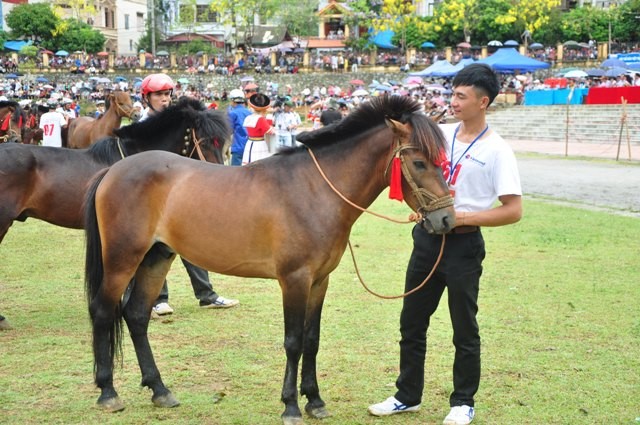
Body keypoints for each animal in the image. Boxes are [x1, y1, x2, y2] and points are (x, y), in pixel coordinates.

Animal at [84, 94, 456, 422]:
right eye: (420, 162)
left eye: (441, 161)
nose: (446, 220)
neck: (314, 190)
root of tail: (113, 171)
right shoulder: (294, 280)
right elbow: (293, 342)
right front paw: (291, 406)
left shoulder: (319, 282)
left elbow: (311, 340)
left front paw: (315, 401)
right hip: (122, 260)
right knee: (104, 310)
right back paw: (108, 392)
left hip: (156, 258)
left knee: (136, 316)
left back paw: (160, 390)